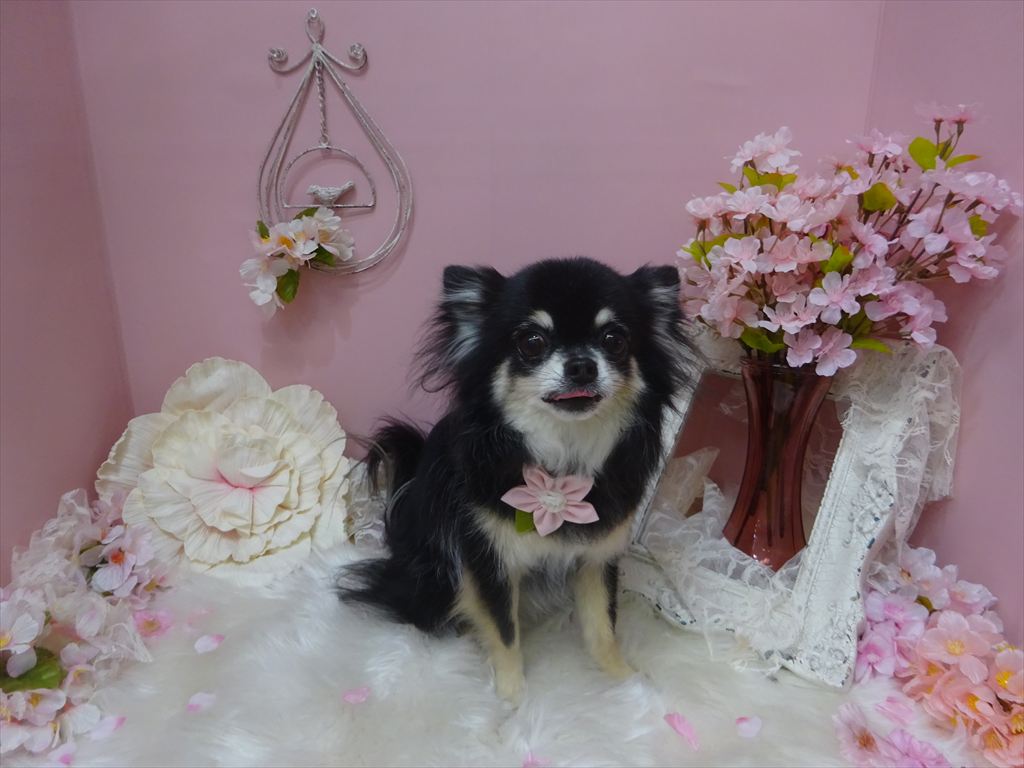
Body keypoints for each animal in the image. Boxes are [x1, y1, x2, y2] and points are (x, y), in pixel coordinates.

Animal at [340, 256, 693, 703]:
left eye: (614, 339)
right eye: (531, 342)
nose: (582, 364)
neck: (563, 458)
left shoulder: (597, 556)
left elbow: (602, 626)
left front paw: (624, 681)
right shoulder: (488, 560)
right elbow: (505, 631)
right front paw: (512, 699)